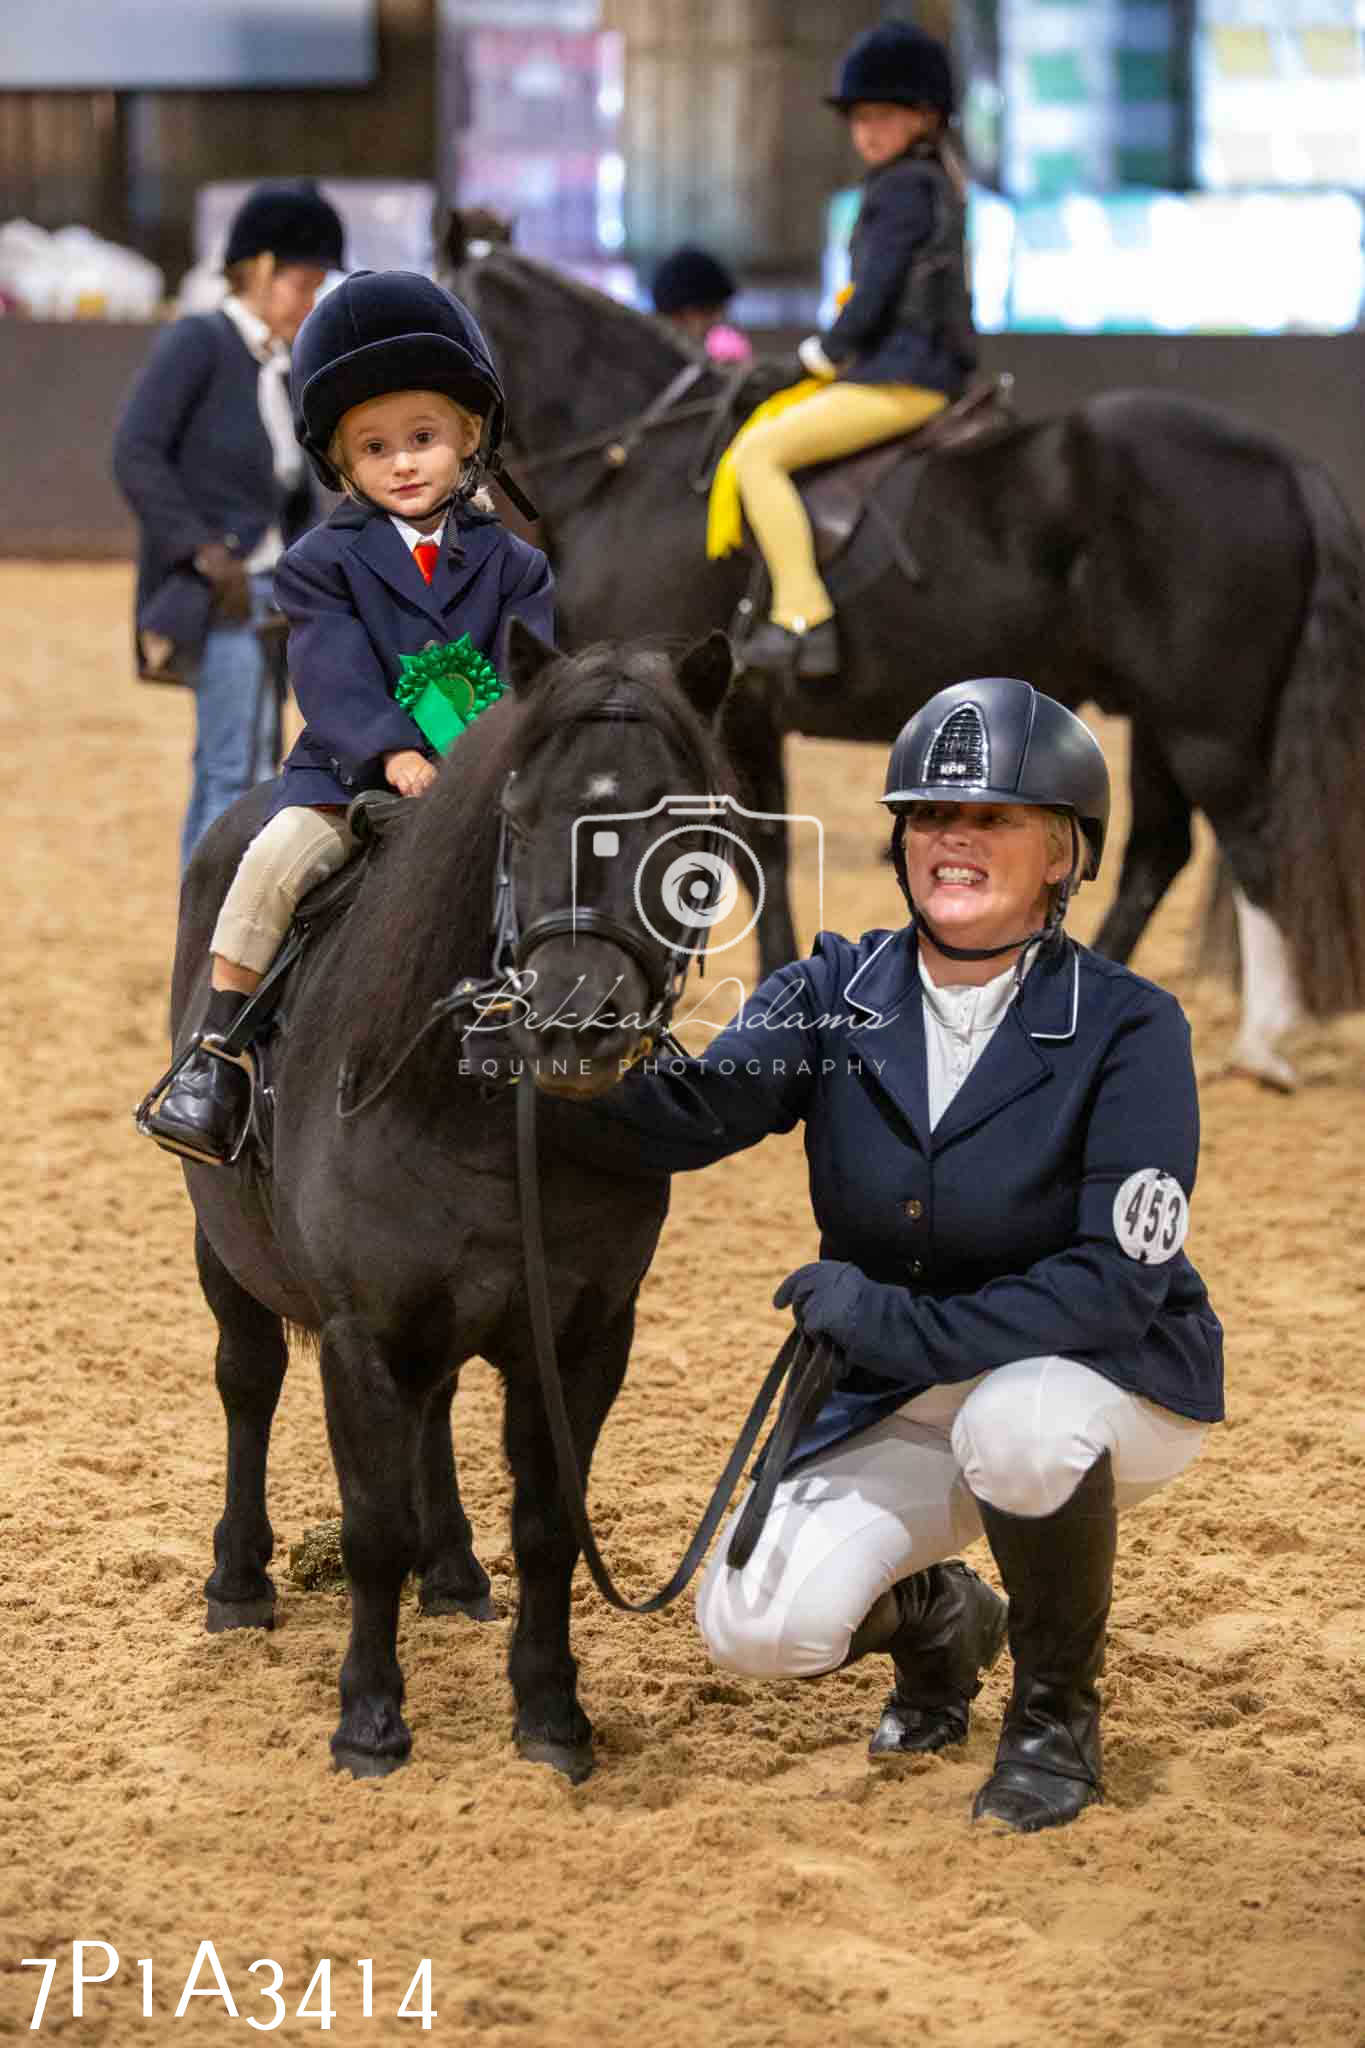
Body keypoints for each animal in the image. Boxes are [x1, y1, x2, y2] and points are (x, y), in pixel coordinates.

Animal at [175, 622, 736, 1777]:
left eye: (685, 837)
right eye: (518, 817)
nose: (574, 1022)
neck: (480, 1113)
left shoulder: (583, 1336)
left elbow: (550, 1524)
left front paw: (552, 1712)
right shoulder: (358, 1333)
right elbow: (370, 1525)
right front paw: (370, 1719)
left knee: (431, 1413)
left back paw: (455, 1573)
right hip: (228, 1257)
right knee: (247, 1385)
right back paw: (240, 1582)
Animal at [454, 235, 1365, 1089]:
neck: (634, 468)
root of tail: (1282, 460)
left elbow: (741, 850)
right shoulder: (742, 713)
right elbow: (763, 848)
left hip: (1203, 721)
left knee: (1250, 844)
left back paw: (1261, 1042)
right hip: (1156, 716)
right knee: (1159, 850)